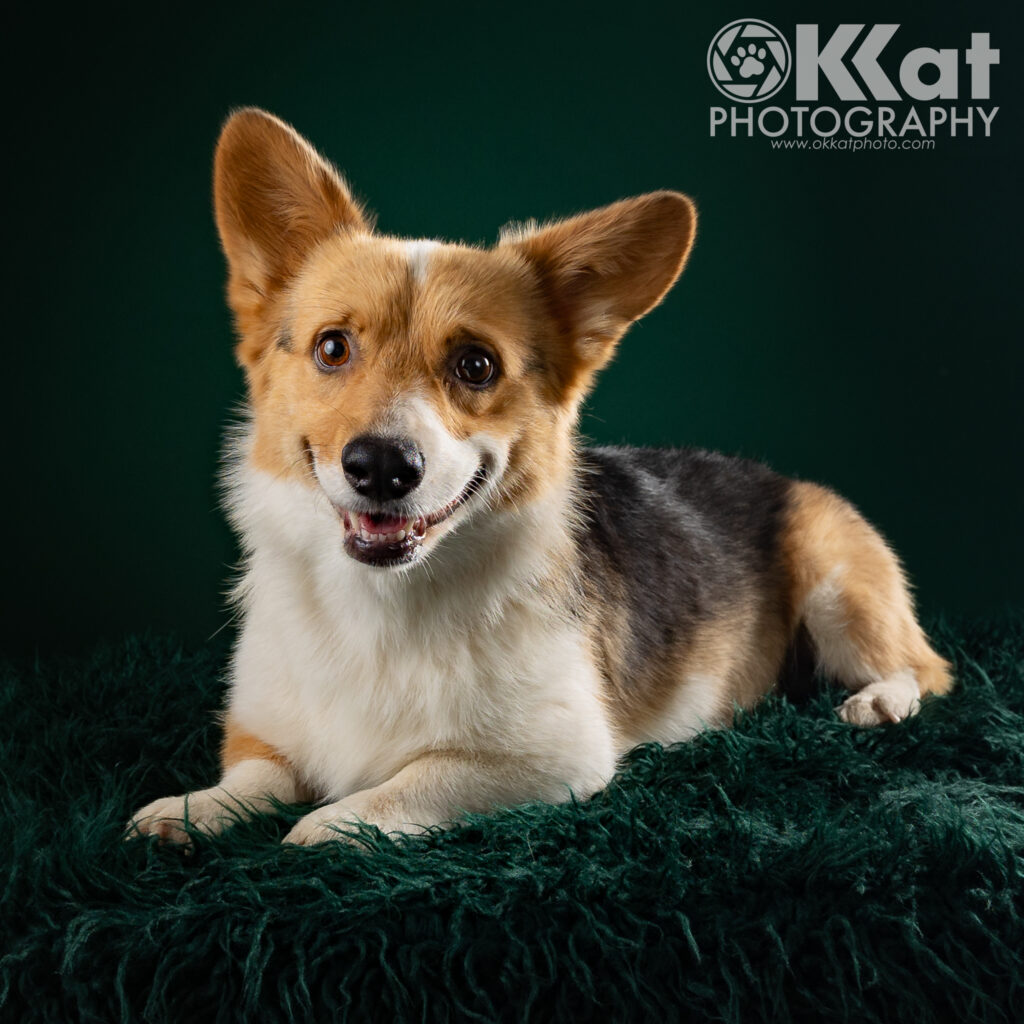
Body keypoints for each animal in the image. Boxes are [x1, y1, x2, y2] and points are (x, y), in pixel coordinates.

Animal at [125, 110, 950, 847]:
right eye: (332, 348)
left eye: (475, 365)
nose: (382, 467)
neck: (382, 602)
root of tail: (780, 477)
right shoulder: (261, 730)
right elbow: (255, 778)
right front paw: (190, 809)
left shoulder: (554, 758)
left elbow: (410, 780)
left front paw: (328, 827)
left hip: (835, 581)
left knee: (927, 670)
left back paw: (881, 699)